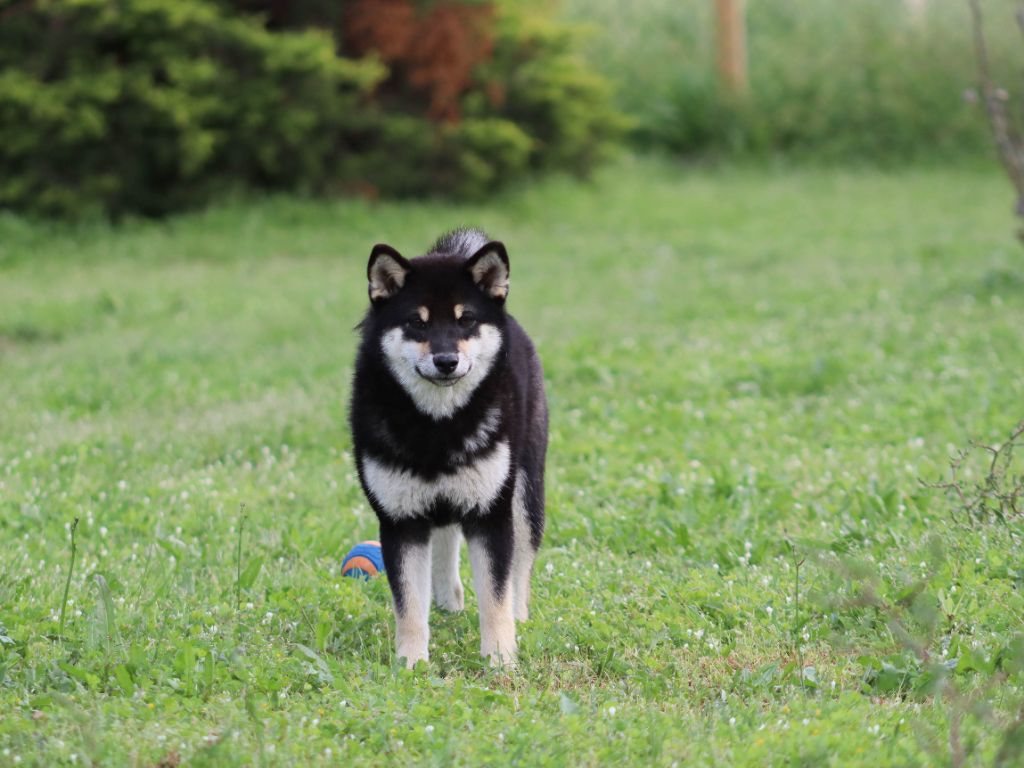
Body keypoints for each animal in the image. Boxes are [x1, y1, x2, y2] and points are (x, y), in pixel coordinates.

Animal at [348, 227, 548, 667]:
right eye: (416, 323)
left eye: (465, 319)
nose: (445, 360)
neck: (437, 427)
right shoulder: (400, 519)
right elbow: (408, 603)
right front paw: (410, 664)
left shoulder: (491, 513)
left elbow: (495, 596)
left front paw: (500, 660)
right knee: (444, 539)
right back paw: (447, 601)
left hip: (526, 492)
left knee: (521, 565)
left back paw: (520, 617)